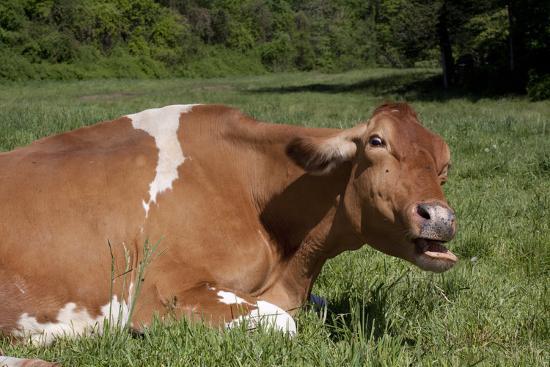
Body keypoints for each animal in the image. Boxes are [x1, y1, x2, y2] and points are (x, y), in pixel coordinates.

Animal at [0, 102, 458, 366]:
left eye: (445, 162)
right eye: (377, 141)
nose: (439, 217)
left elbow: (321, 306)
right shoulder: (161, 293)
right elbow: (285, 324)